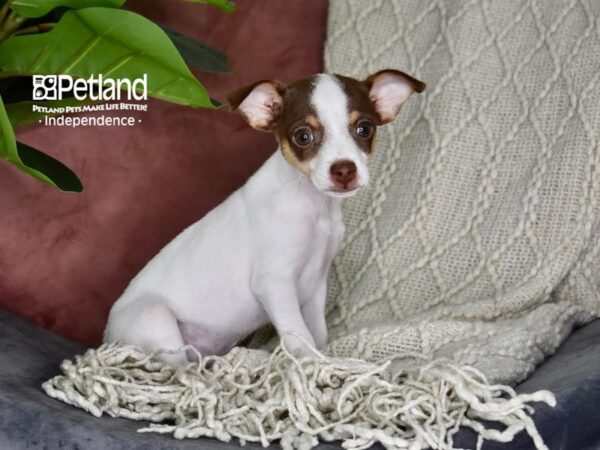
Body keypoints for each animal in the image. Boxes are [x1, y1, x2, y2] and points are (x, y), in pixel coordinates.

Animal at [103, 69, 424, 366]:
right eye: (303, 136)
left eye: (364, 129)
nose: (343, 170)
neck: (313, 206)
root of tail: (107, 339)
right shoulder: (275, 283)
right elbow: (300, 335)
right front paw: (313, 365)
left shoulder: (315, 286)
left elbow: (317, 332)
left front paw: (324, 358)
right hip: (154, 318)